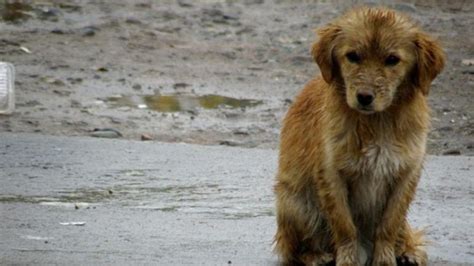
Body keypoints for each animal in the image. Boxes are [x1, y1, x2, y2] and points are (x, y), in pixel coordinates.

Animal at [274, 6, 444, 266]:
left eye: (392, 60)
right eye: (352, 56)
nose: (364, 97)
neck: (377, 122)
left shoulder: (406, 175)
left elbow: (389, 225)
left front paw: (385, 259)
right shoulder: (332, 174)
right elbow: (345, 226)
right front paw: (348, 259)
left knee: (404, 233)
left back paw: (407, 252)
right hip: (296, 203)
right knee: (295, 248)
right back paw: (316, 256)